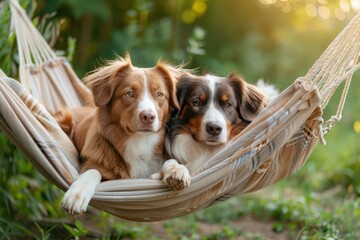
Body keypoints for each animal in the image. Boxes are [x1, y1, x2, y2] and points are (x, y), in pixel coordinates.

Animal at [54, 56, 190, 214]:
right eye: (129, 93)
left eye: (160, 94)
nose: (148, 117)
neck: (140, 142)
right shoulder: (92, 164)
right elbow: (93, 171)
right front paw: (77, 194)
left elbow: (171, 161)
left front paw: (177, 171)